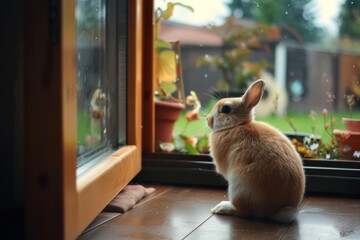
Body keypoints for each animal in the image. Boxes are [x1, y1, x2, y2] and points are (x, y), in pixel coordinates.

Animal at [207, 79, 306, 223]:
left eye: (225, 109)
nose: (208, 119)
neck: (237, 125)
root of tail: (276, 210)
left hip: (238, 189)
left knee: (246, 212)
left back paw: (222, 207)